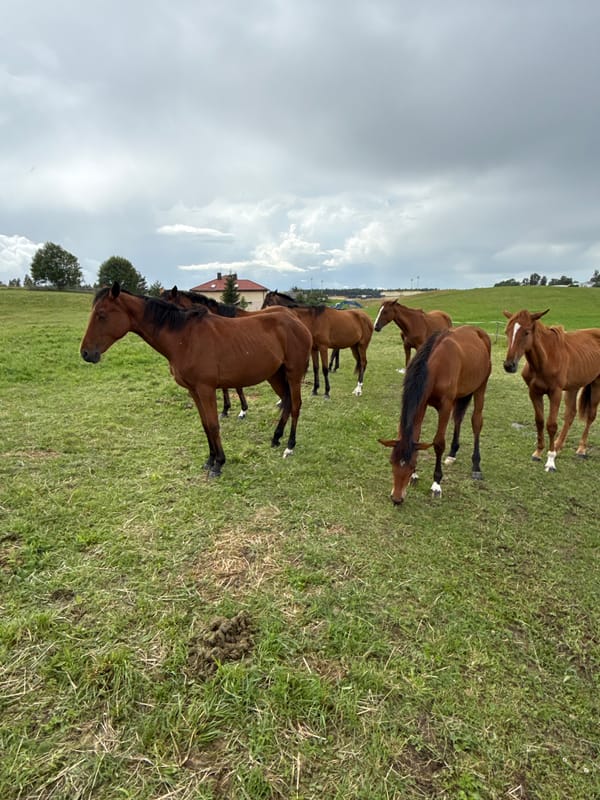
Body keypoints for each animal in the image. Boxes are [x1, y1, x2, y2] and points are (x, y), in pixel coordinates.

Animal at [80, 283, 313, 478]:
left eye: (101, 315)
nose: (86, 353)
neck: (185, 338)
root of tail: (296, 321)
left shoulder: (206, 389)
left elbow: (214, 424)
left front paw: (219, 463)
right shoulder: (193, 390)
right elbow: (205, 424)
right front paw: (210, 460)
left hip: (292, 374)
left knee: (296, 405)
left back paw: (289, 446)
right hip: (275, 375)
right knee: (287, 401)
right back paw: (276, 437)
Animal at [379, 326, 492, 505]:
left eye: (410, 465)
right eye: (391, 462)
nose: (396, 498)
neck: (436, 366)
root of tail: (479, 332)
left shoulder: (445, 406)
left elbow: (438, 443)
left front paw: (436, 484)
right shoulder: (422, 403)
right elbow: (416, 435)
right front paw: (415, 477)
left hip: (481, 387)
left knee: (476, 421)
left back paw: (476, 466)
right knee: (458, 418)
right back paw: (452, 455)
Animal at [503, 308, 600, 472]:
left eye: (527, 332)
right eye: (507, 331)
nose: (509, 365)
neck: (546, 359)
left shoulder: (555, 393)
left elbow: (551, 425)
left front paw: (550, 460)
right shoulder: (534, 392)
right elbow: (540, 421)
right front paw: (538, 452)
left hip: (596, 384)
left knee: (591, 415)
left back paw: (581, 450)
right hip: (573, 387)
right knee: (570, 414)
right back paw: (558, 446)